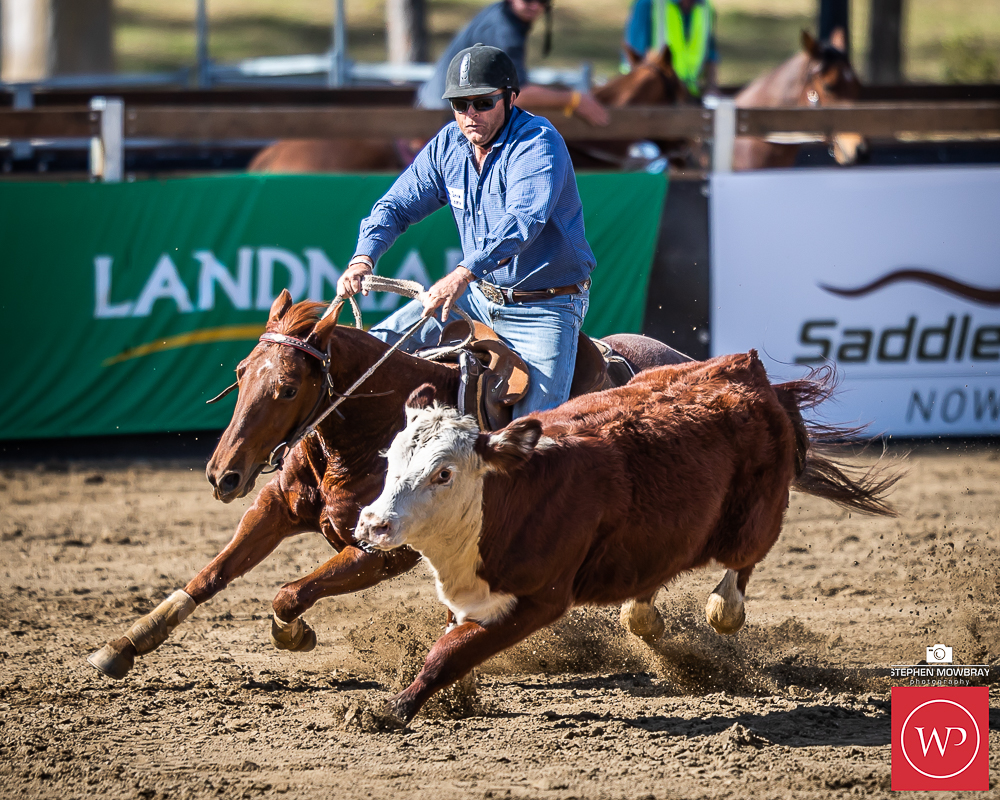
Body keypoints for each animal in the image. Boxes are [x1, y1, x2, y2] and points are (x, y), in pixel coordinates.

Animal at [87, 289, 693, 679]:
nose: (223, 474)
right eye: (240, 373)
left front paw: (293, 634)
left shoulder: (380, 551)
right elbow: (212, 573)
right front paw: (128, 642)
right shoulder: (274, 506)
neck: (363, 437)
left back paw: (649, 621)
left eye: (288, 388)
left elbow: (292, 592)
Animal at [355, 356, 898, 725]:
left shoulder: (538, 600)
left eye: (443, 473)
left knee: (736, 577)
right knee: (647, 595)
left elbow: (450, 653)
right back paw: (648, 617)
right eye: (392, 458)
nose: (373, 524)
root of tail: (748, 371)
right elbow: (453, 641)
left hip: (753, 520)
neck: (509, 493)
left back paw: (720, 611)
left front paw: (391, 710)